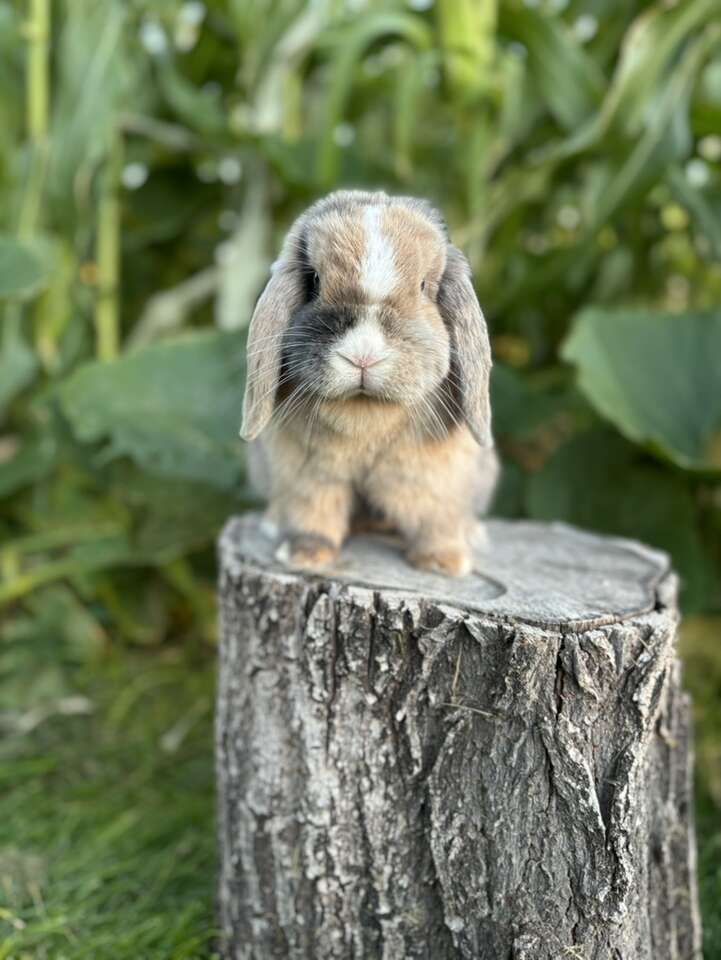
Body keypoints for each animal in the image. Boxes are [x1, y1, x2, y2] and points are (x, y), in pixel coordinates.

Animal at [239, 191, 498, 572]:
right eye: (314, 281)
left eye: (423, 286)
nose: (363, 355)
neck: (365, 413)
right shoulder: (309, 476)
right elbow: (313, 513)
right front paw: (305, 555)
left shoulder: (436, 476)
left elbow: (436, 517)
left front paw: (443, 562)